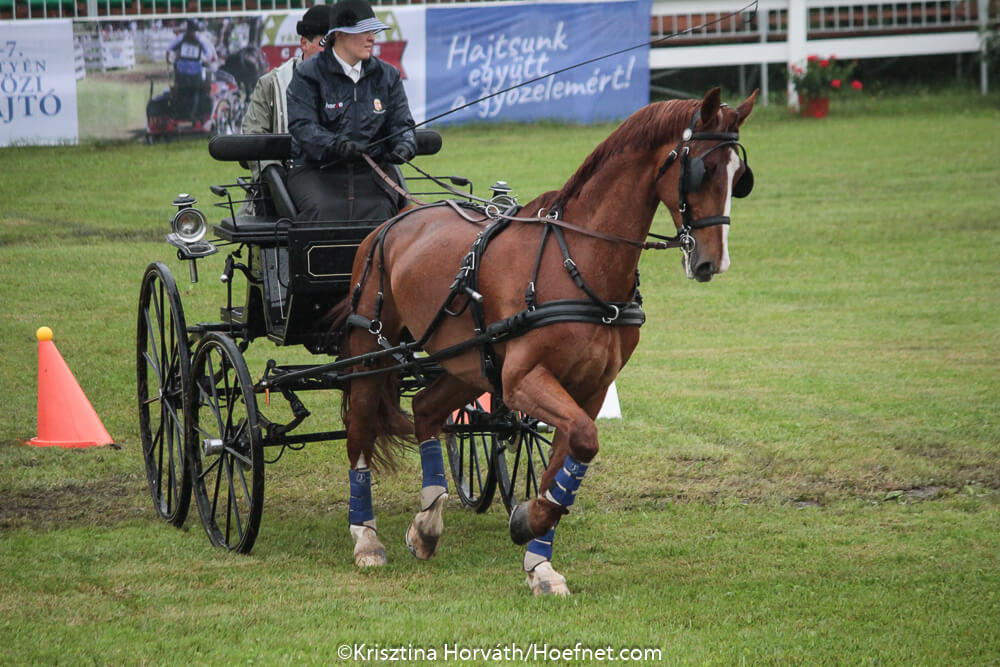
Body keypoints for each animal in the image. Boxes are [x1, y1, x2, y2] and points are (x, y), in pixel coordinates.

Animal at [332, 87, 752, 596]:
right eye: (702, 170)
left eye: (739, 176)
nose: (713, 262)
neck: (577, 262)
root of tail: (397, 220)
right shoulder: (522, 379)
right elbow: (582, 442)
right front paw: (529, 522)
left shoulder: (588, 390)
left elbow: (571, 455)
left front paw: (537, 553)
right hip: (371, 350)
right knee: (360, 427)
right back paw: (366, 538)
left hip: (468, 364)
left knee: (427, 409)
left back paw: (428, 524)